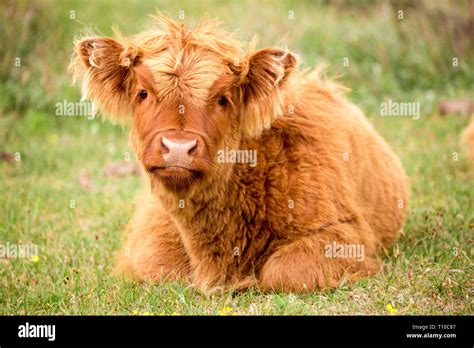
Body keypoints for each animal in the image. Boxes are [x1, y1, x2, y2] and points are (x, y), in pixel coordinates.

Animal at [72, 16, 410, 294]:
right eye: (142, 93)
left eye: (223, 98)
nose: (178, 147)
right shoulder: (148, 243)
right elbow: (162, 268)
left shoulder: (346, 236)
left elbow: (282, 271)